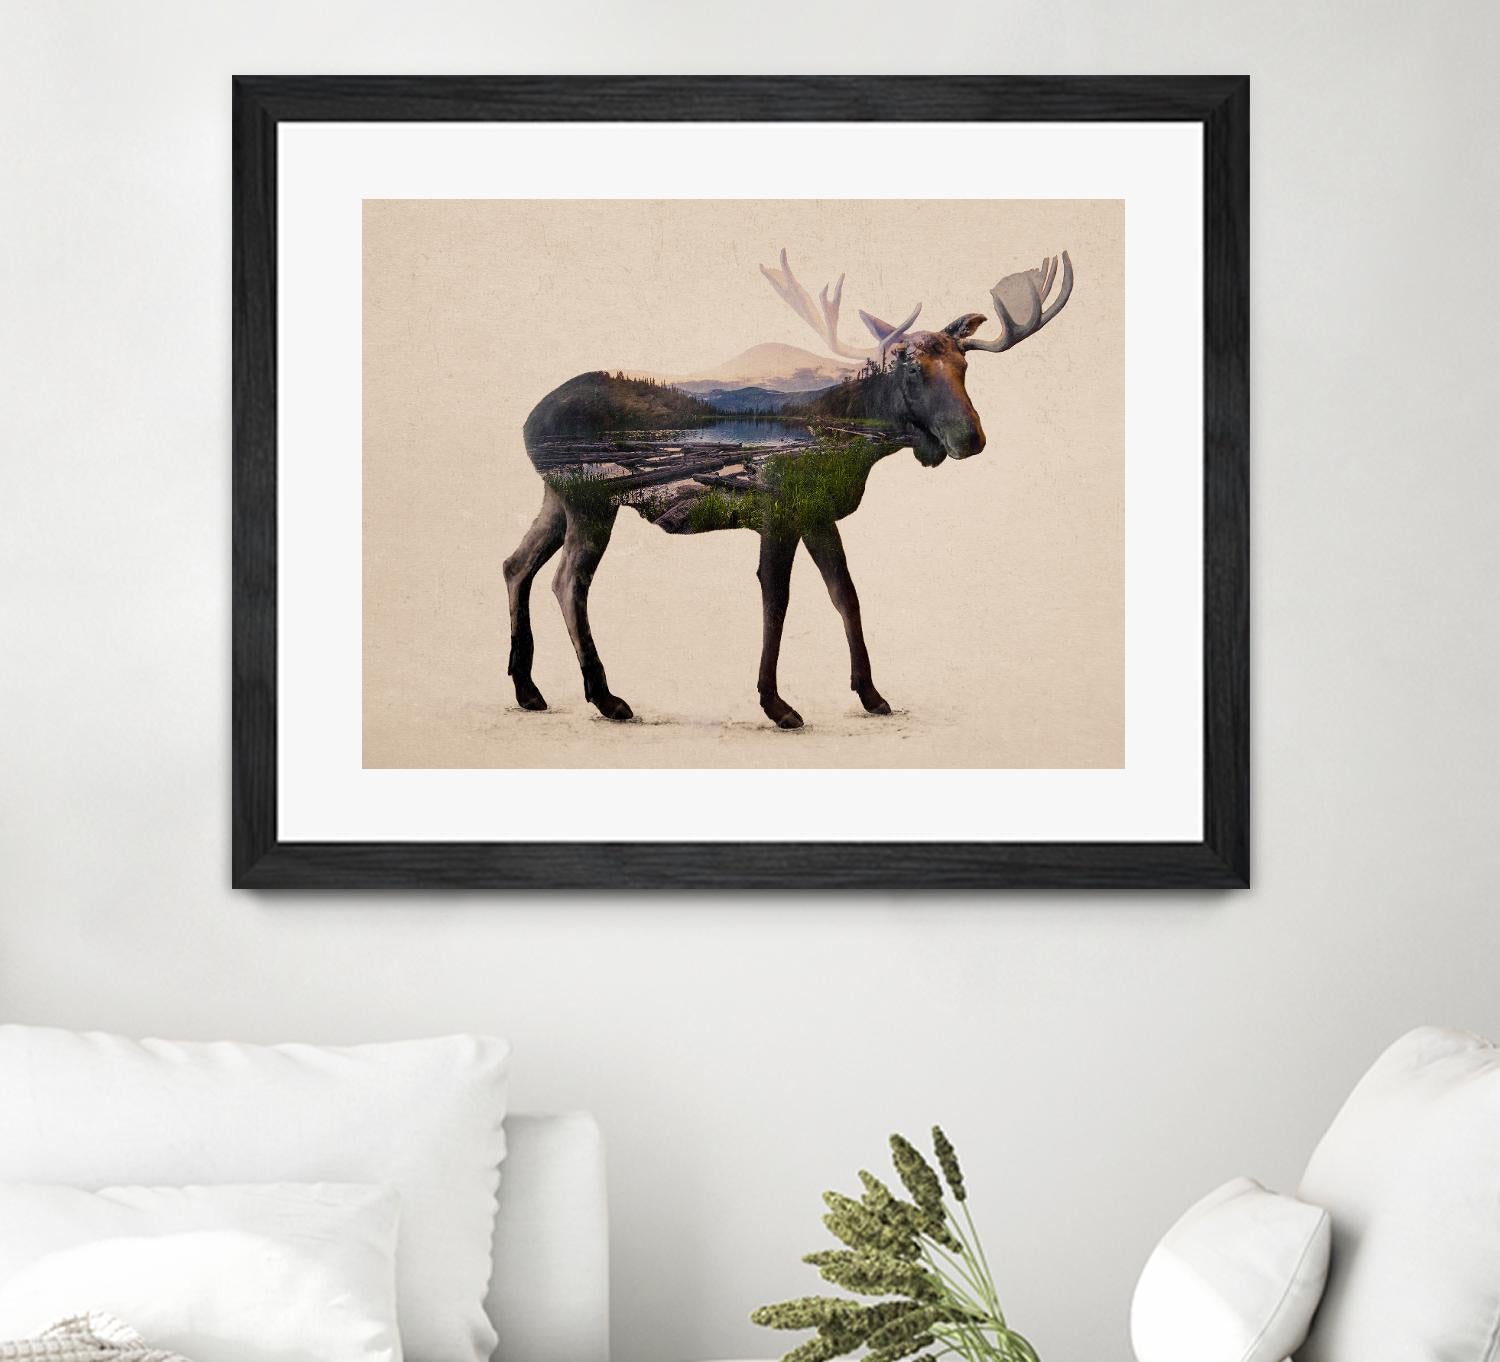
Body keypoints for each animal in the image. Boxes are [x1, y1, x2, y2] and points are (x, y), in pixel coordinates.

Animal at [504, 250, 1074, 729]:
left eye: (964, 365)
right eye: (911, 367)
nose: (970, 437)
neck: (857, 446)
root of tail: (527, 420)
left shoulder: (819, 514)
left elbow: (846, 595)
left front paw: (872, 695)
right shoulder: (779, 513)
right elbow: (776, 600)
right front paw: (777, 704)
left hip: (556, 498)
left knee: (516, 564)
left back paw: (529, 690)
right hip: (589, 499)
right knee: (568, 582)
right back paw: (607, 698)